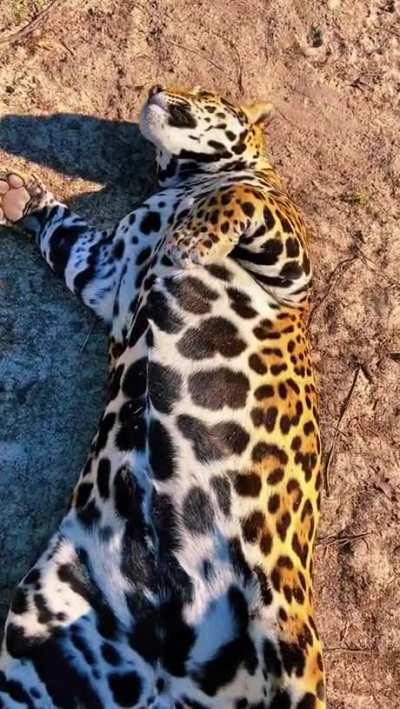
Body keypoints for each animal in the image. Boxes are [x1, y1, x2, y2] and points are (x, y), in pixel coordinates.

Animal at [0, 85, 325, 708]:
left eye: (205, 93)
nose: (155, 89)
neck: (183, 178)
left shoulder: (294, 269)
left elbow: (244, 197)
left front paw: (195, 235)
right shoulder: (104, 271)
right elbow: (66, 235)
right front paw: (22, 196)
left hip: (289, 636)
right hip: (43, 627)